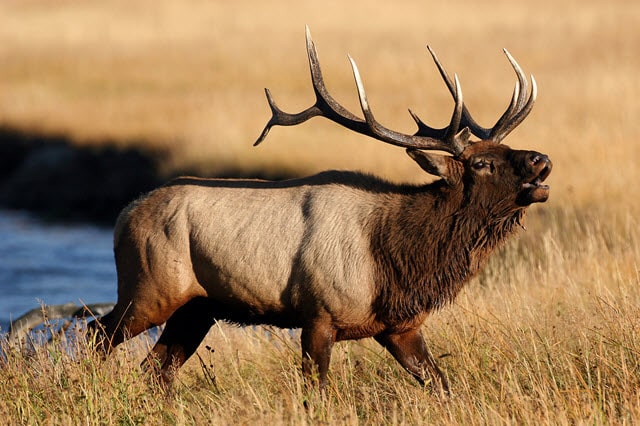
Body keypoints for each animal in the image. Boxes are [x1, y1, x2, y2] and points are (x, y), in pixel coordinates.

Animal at [90, 27, 552, 396]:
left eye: (508, 148)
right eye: (482, 163)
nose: (541, 158)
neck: (397, 263)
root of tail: (123, 216)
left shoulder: (399, 327)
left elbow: (442, 384)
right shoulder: (318, 314)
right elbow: (318, 392)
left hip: (196, 308)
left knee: (157, 369)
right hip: (148, 288)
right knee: (97, 335)